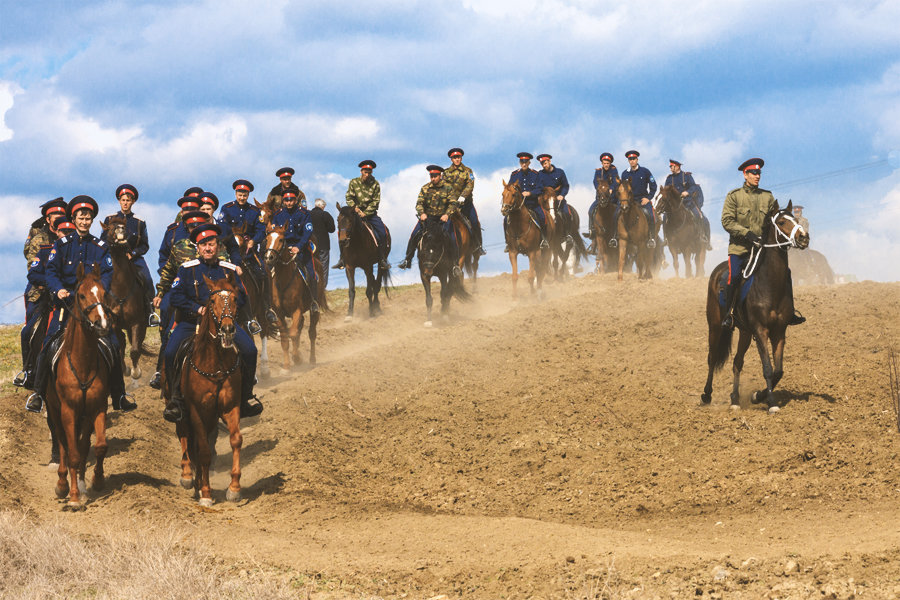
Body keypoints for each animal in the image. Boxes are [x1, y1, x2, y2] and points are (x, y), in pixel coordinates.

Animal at [44, 264, 116, 508]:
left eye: (104, 293)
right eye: (82, 295)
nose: (102, 324)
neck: (82, 361)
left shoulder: (97, 408)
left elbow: (99, 446)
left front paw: (97, 481)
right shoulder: (68, 411)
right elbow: (72, 454)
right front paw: (74, 497)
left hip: (83, 417)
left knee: (81, 446)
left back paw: (82, 483)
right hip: (56, 412)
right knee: (64, 446)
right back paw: (62, 485)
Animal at [101, 217, 150, 384]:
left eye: (125, 227)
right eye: (109, 228)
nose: (120, 229)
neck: (121, 287)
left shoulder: (137, 322)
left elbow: (134, 350)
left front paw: (136, 371)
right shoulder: (114, 324)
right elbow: (120, 346)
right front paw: (125, 369)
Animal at [176, 276, 244, 506]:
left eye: (235, 298)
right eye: (212, 300)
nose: (228, 328)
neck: (216, 364)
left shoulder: (230, 407)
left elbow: (235, 440)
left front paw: (234, 487)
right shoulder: (196, 411)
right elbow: (204, 451)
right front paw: (206, 493)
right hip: (182, 414)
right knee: (185, 437)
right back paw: (188, 477)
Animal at [260, 224, 324, 370]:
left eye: (281, 239)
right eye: (267, 239)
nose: (269, 257)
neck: (284, 280)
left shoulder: (297, 311)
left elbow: (293, 333)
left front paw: (297, 358)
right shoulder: (278, 314)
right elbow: (285, 338)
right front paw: (287, 365)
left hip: (315, 309)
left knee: (311, 333)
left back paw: (312, 360)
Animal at [700, 202, 812, 412]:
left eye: (795, 219)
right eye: (782, 222)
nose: (804, 237)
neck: (770, 285)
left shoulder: (779, 332)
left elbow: (778, 371)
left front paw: (757, 396)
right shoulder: (761, 331)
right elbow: (767, 369)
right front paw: (772, 403)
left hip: (744, 332)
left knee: (737, 362)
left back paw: (735, 400)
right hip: (716, 326)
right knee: (712, 358)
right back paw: (706, 395)